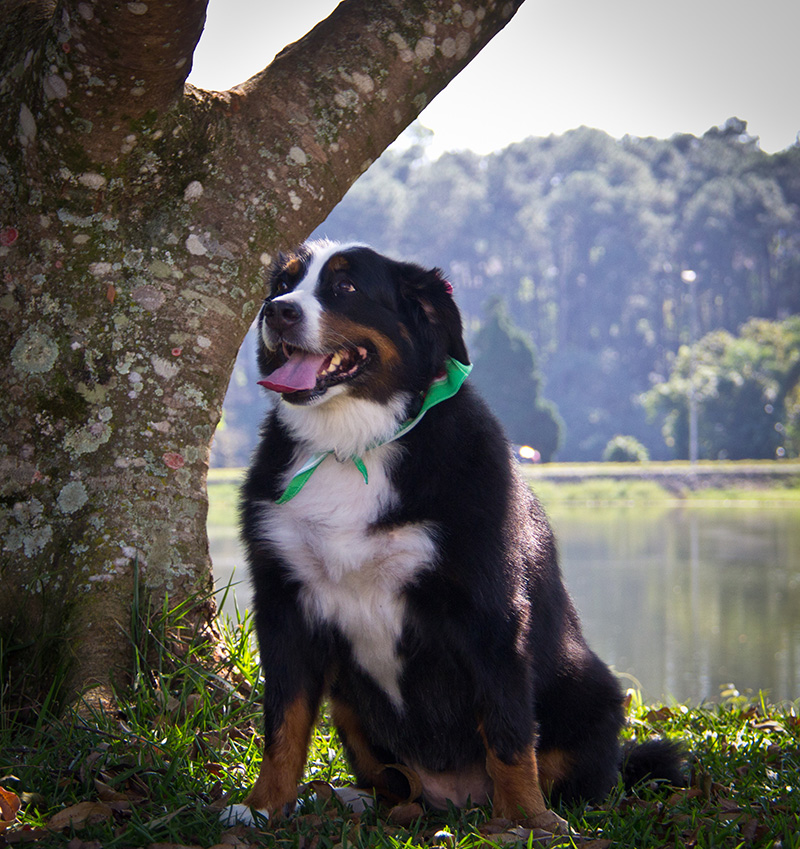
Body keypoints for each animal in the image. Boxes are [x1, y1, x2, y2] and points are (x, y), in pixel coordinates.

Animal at [238, 237, 680, 828]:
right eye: (283, 284)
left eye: (345, 286)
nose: (277, 311)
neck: (352, 448)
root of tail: (453, 799)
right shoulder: (284, 603)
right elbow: (283, 724)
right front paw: (261, 807)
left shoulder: (487, 607)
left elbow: (510, 732)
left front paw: (528, 822)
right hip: (351, 705)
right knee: (391, 783)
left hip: (593, 690)